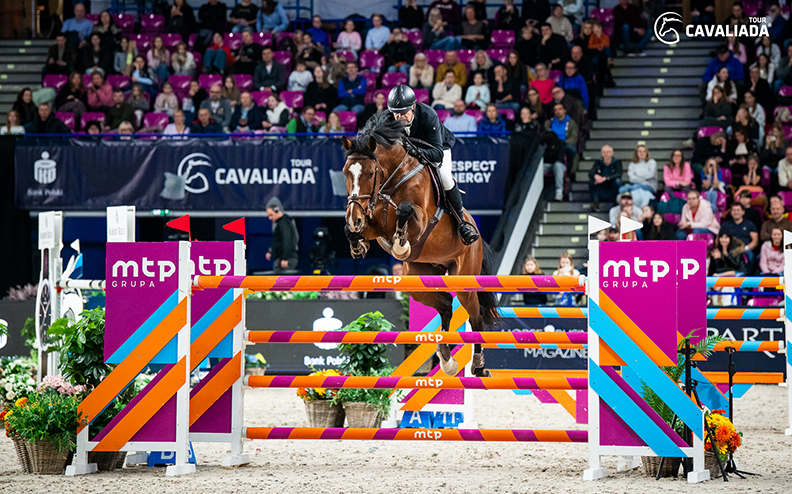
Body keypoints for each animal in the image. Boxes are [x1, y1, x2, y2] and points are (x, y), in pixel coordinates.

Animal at [341, 112, 499, 377]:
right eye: (345, 173)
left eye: (371, 174)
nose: (354, 217)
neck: (392, 179)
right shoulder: (375, 224)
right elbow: (354, 231)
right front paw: (357, 243)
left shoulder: (421, 220)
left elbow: (404, 212)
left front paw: (401, 245)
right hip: (418, 280)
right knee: (445, 304)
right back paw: (446, 359)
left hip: (464, 277)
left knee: (475, 316)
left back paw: (478, 366)